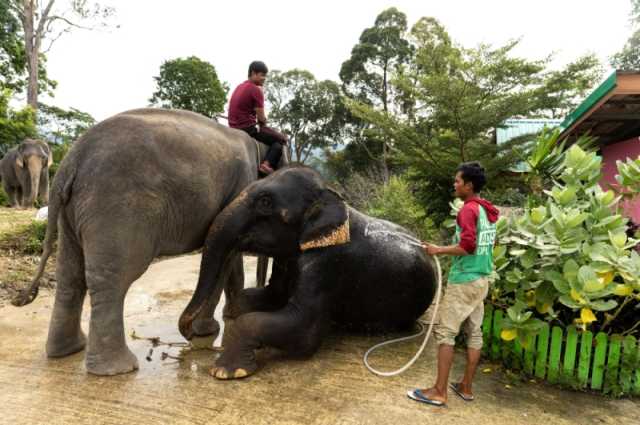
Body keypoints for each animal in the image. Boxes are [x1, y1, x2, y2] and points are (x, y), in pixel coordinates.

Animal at [11, 107, 282, 374]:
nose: (188, 333)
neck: (257, 144)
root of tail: (71, 161)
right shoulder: (240, 187)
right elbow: (226, 255)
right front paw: (209, 329)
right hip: (116, 206)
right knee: (113, 278)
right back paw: (119, 369)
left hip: (71, 213)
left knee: (70, 276)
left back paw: (68, 351)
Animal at [180, 165, 440, 378]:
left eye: (265, 202)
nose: (190, 333)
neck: (331, 193)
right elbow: (270, 295)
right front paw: (234, 311)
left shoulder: (329, 264)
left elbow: (304, 331)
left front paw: (225, 371)